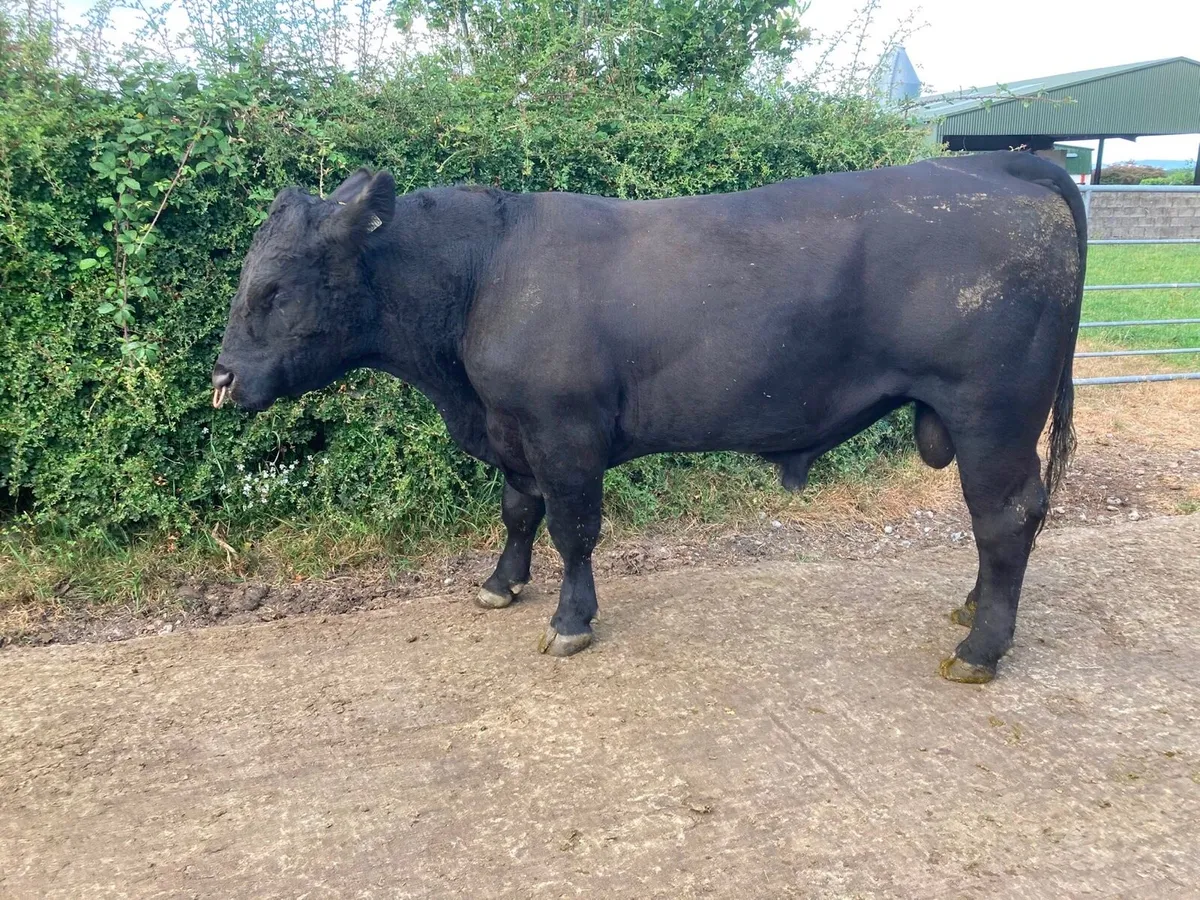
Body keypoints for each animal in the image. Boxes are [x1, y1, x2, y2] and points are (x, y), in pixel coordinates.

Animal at [212, 151, 1085, 683]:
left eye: (276, 288)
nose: (222, 378)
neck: (482, 272)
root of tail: (995, 162)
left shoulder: (564, 433)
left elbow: (572, 530)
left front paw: (570, 621)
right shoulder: (514, 432)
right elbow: (518, 511)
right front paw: (500, 584)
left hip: (991, 412)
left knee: (1005, 517)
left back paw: (979, 646)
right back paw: (972, 609)